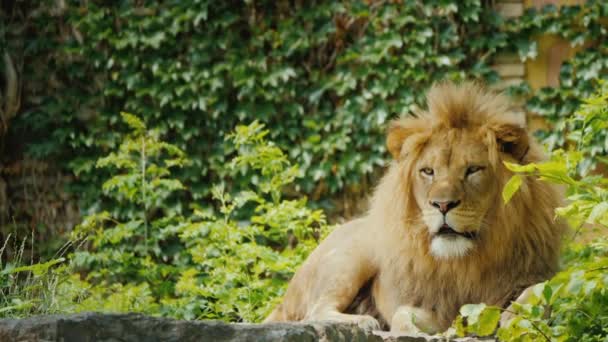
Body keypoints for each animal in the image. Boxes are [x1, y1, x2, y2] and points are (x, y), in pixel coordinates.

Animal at [264, 81, 568, 332]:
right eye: (428, 171)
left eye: (473, 170)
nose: (442, 204)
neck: (467, 261)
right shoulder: (432, 302)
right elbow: (403, 316)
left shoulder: (534, 272)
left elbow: (542, 289)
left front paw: (512, 318)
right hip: (351, 257)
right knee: (314, 312)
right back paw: (363, 320)